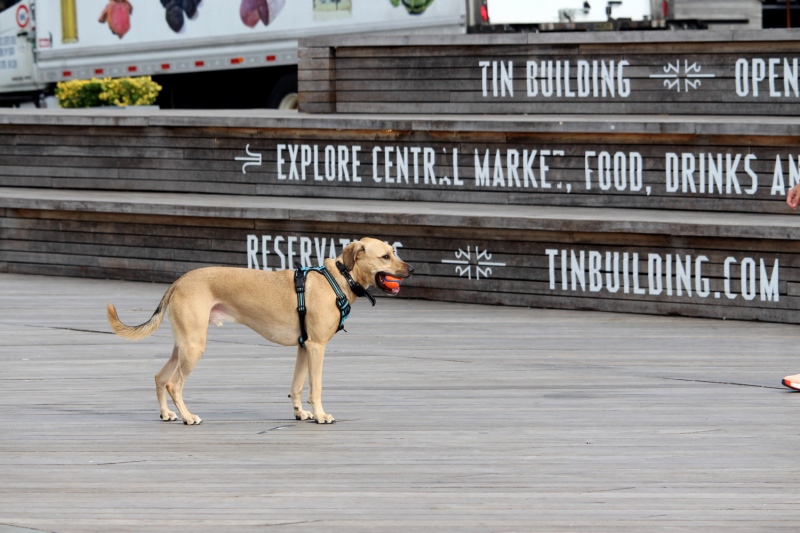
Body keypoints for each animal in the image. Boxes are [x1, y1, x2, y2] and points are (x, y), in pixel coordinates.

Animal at [106, 237, 412, 424]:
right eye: (385, 256)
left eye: (394, 252)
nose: (411, 269)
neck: (338, 279)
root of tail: (178, 281)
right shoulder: (316, 347)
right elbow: (315, 387)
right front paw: (320, 415)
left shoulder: (304, 346)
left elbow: (296, 386)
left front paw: (301, 413)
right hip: (194, 347)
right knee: (173, 384)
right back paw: (188, 417)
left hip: (183, 345)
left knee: (160, 377)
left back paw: (167, 413)